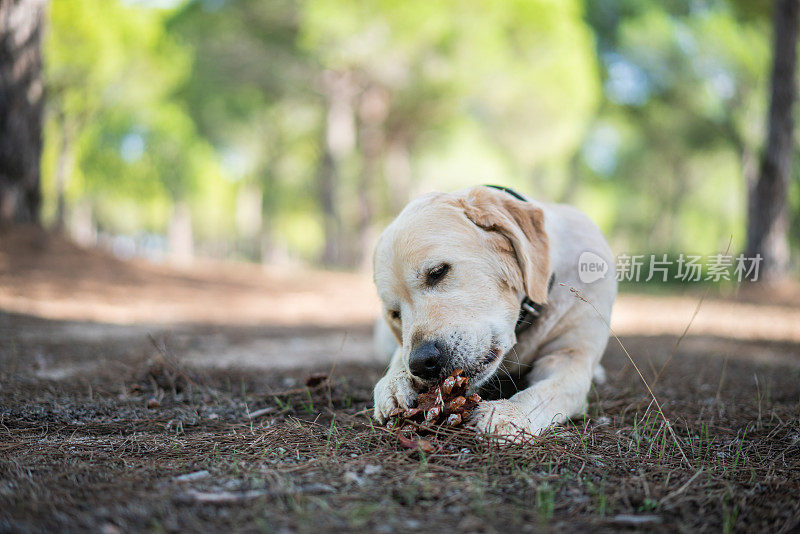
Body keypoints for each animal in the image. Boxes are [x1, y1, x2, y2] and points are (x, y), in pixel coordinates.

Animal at [372, 186, 616, 442]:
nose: (421, 363)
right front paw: (394, 383)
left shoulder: (571, 356)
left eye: (437, 272)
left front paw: (508, 414)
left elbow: (546, 391)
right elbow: (400, 356)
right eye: (395, 313)